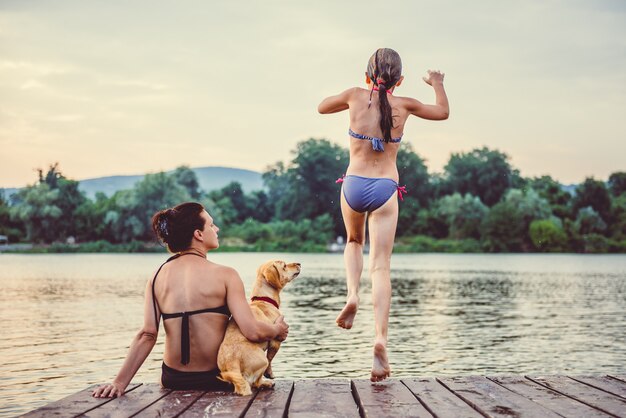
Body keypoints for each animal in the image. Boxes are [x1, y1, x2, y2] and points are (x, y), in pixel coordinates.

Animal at [217, 258, 300, 396]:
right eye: (284, 265)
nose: (299, 263)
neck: (264, 299)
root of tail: (232, 364)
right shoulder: (276, 340)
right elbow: (271, 358)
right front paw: (270, 374)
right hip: (261, 360)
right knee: (255, 381)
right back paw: (266, 383)